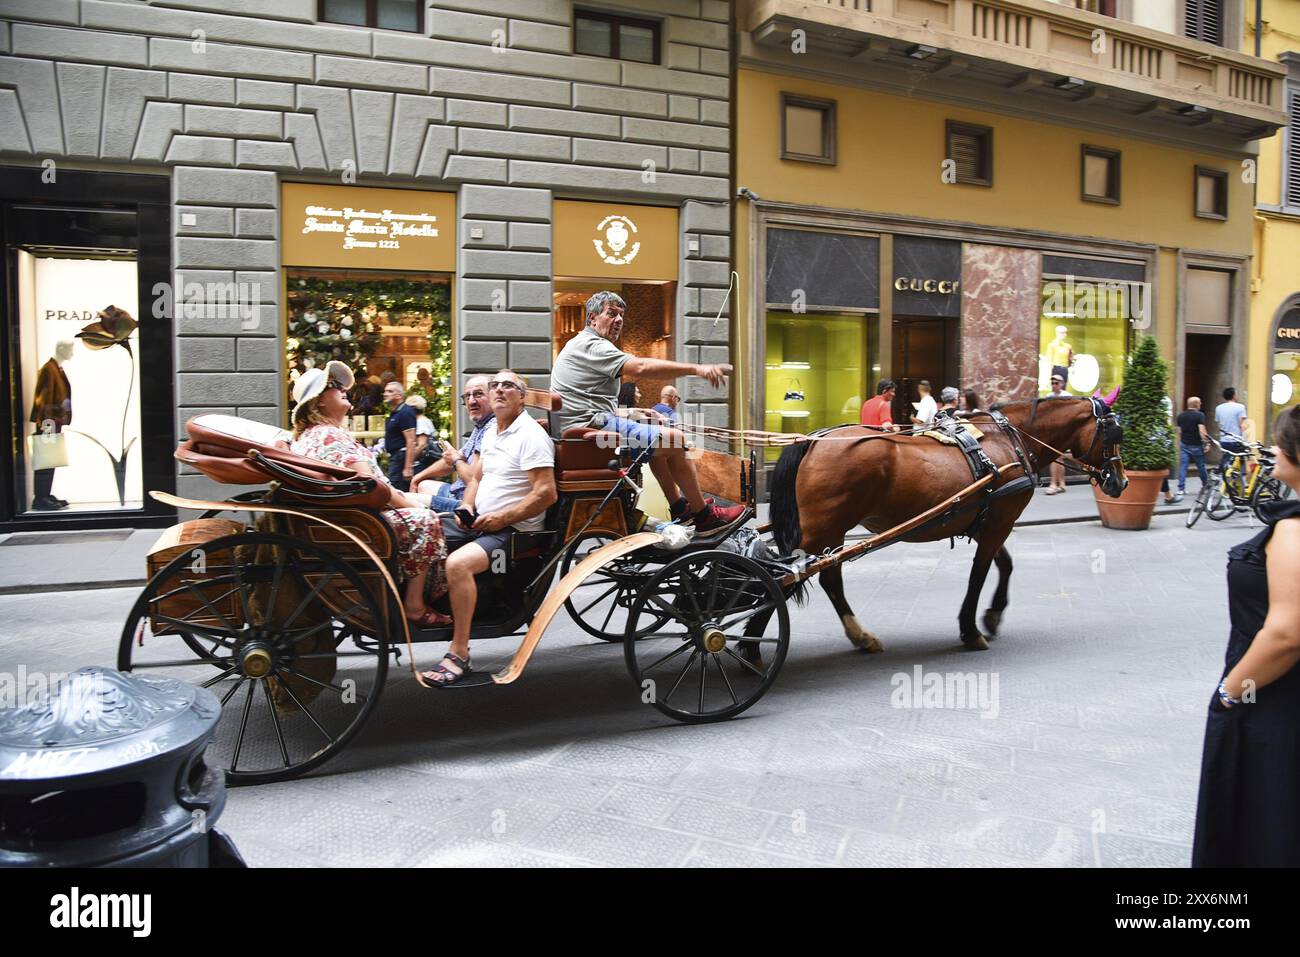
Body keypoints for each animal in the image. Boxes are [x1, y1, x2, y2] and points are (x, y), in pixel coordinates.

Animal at [769, 395, 1128, 650]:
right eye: (1112, 433)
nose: (1120, 482)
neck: (1010, 440)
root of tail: (812, 440)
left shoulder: (989, 520)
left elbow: (1005, 565)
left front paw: (992, 616)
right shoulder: (1000, 522)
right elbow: (978, 575)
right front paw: (970, 630)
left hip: (830, 534)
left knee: (824, 580)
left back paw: (859, 636)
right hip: (821, 531)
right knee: (783, 581)